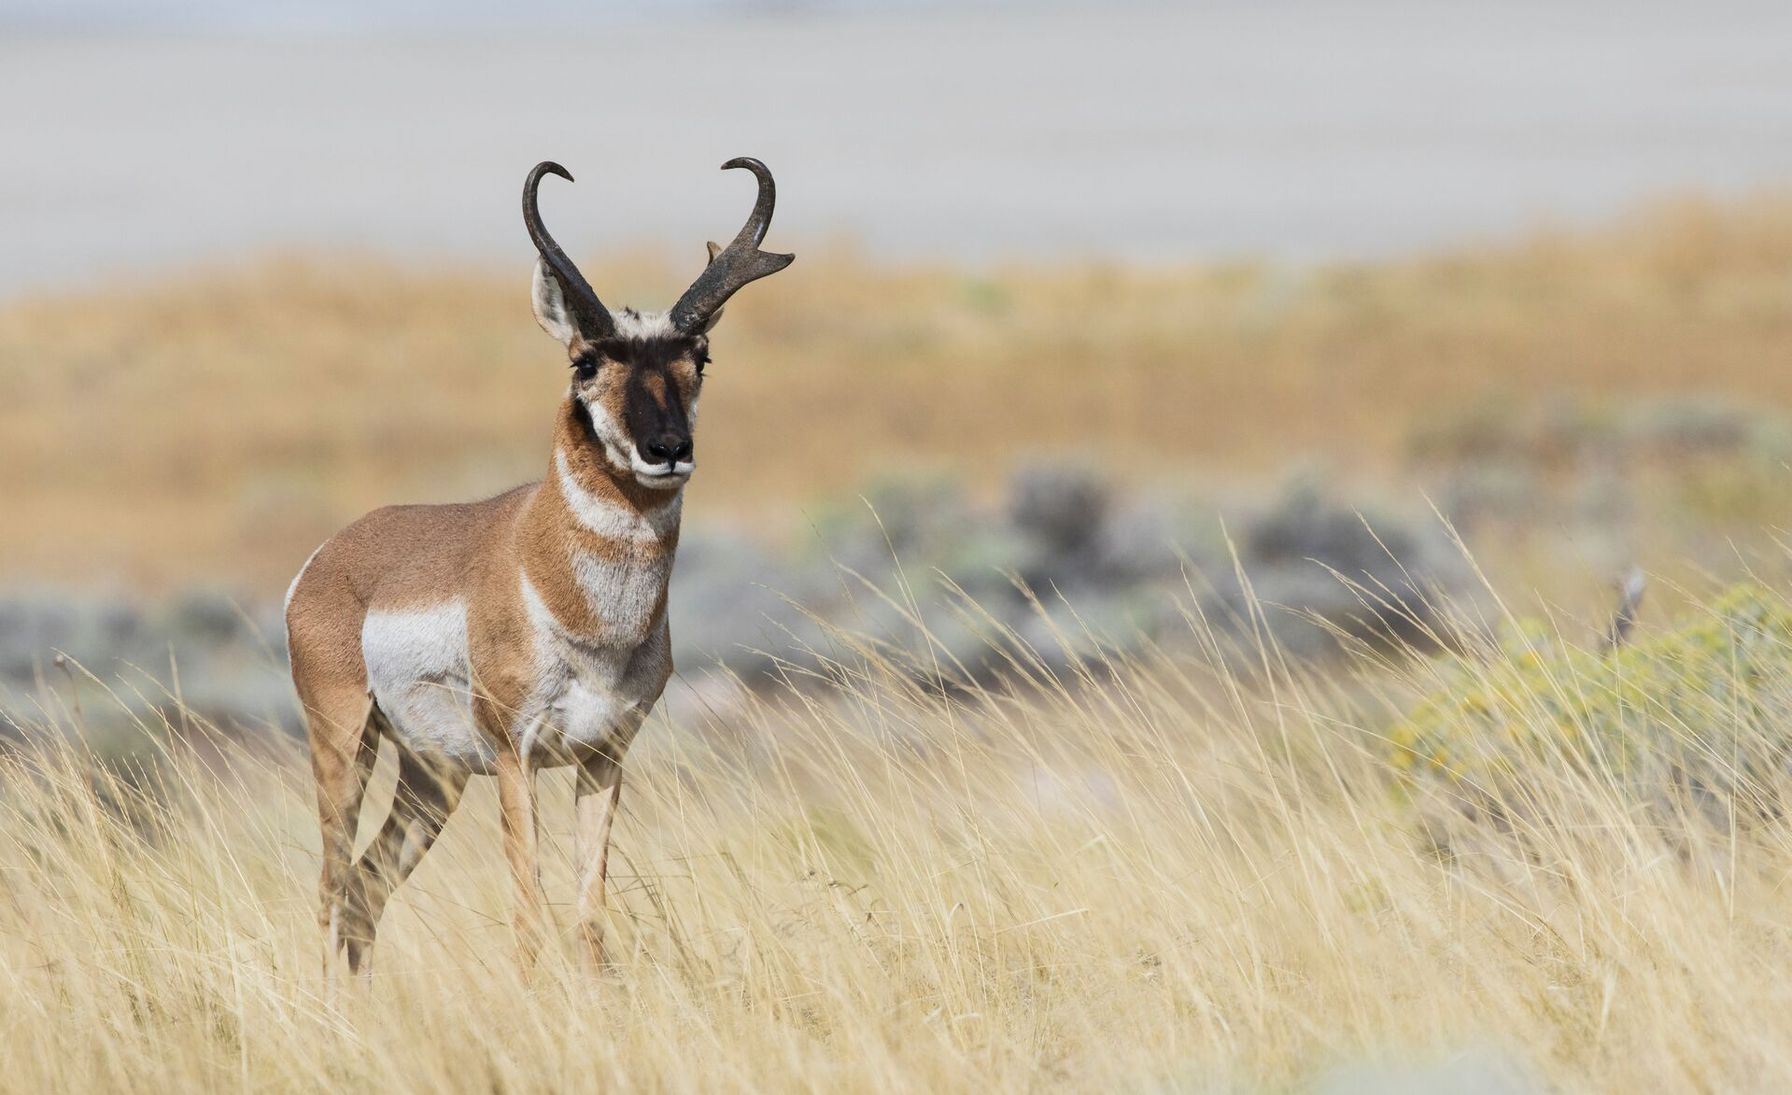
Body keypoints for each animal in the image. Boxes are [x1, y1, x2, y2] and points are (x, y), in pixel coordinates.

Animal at [284, 157, 793, 982]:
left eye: (699, 358)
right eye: (586, 361)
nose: (667, 448)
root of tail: (328, 556)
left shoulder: (604, 759)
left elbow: (588, 915)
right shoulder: (515, 757)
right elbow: (529, 913)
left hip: (434, 776)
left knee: (364, 887)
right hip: (347, 742)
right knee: (331, 885)